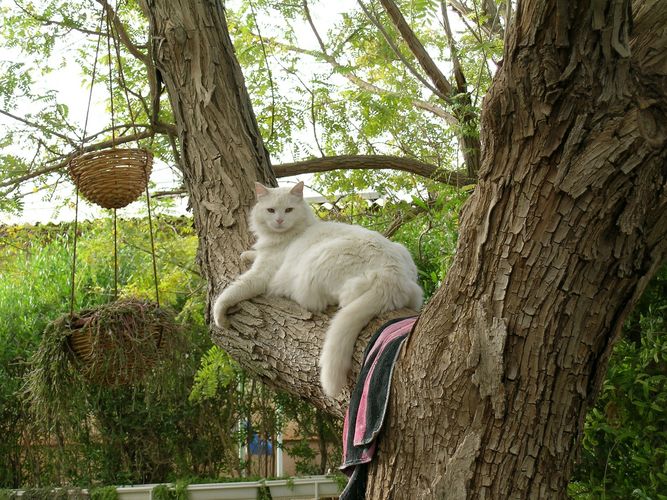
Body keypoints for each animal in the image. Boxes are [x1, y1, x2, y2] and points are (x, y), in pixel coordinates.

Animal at [214, 182, 422, 396]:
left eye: (289, 210)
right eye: (271, 210)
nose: (279, 220)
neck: (287, 236)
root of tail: (393, 276)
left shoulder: (261, 275)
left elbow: (231, 292)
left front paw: (219, 318)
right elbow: (253, 254)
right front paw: (246, 254)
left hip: (315, 264)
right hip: (402, 253)